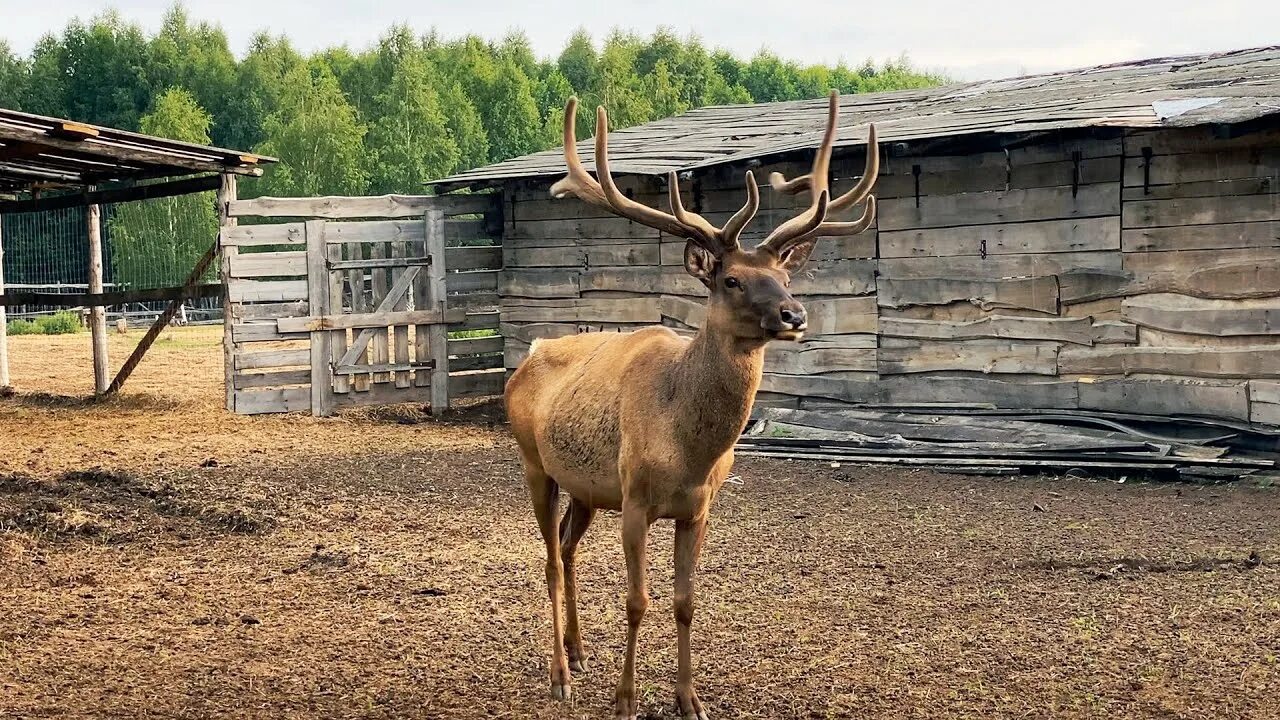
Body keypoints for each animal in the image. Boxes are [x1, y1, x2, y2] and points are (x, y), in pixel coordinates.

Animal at [504, 90, 875, 717]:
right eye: (731, 279)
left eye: (783, 277)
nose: (794, 314)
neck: (689, 450)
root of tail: (528, 357)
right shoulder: (634, 499)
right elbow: (638, 601)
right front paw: (627, 699)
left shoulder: (698, 508)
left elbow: (685, 602)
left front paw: (688, 698)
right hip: (535, 463)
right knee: (550, 559)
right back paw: (559, 674)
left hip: (585, 487)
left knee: (568, 547)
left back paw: (579, 652)